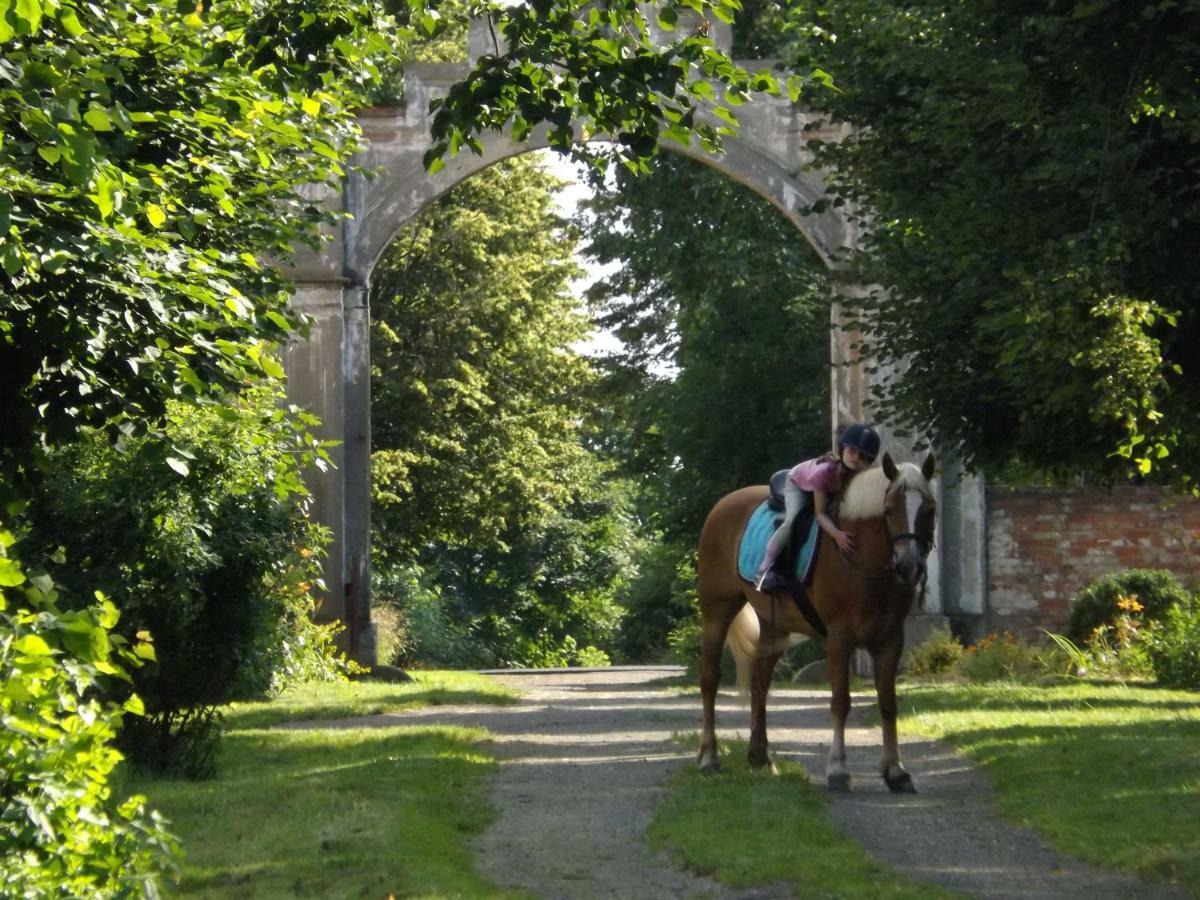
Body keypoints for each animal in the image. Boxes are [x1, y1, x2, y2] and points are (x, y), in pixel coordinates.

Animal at [696, 453, 936, 792]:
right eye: (889, 510)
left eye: (930, 510)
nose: (909, 567)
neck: (863, 557)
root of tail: (723, 505)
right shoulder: (840, 637)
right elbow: (840, 701)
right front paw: (837, 770)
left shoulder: (891, 639)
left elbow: (888, 704)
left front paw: (896, 772)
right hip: (716, 611)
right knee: (709, 679)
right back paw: (708, 757)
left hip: (772, 624)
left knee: (760, 683)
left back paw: (760, 757)